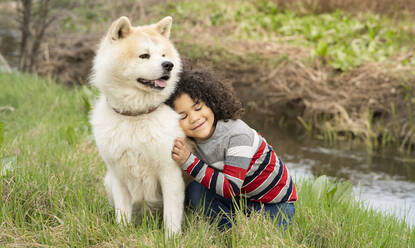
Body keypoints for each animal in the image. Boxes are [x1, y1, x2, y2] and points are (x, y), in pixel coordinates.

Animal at [90, 16, 185, 236]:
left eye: (163, 55)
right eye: (144, 56)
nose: (168, 65)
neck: (136, 116)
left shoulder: (170, 172)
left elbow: (171, 214)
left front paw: (172, 238)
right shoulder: (118, 174)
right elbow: (122, 212)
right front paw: (122, 233)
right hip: (108, 180)